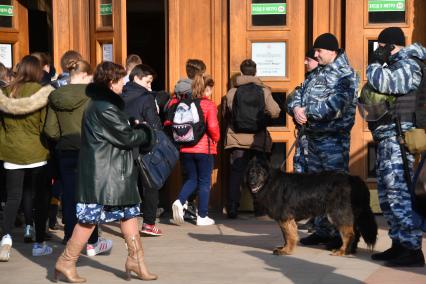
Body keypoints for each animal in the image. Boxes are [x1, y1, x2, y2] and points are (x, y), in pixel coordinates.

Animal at [246, 156, 380, 256]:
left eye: (260, 173)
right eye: (251, 173)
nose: (252, 183)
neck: (270, 181)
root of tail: (355, 179)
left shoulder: (285, 217)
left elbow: (289, 236)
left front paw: (286, 250)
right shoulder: (285, 219)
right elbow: (286, 236)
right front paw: (284, 248)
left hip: (338, 213)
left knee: (349, 234)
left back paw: (342, 251)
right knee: (356, 233)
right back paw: (350, 251)